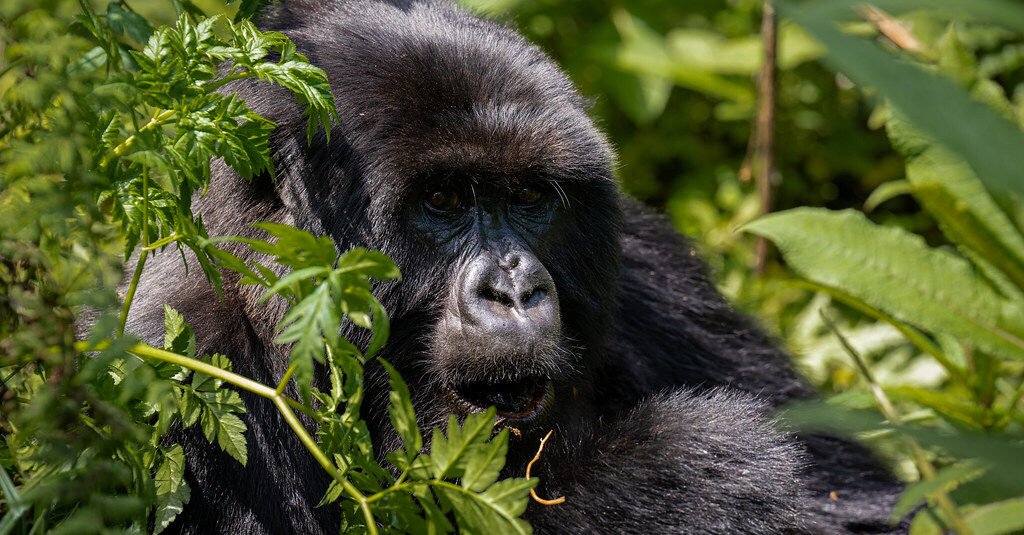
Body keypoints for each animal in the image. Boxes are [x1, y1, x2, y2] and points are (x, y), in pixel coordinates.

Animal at [125, 0, 905, 528]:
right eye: (442, 198)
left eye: (528, 196)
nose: (516, 288)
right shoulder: (177, 370)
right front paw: (689, 471)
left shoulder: (647, 263)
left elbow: (868, 504)